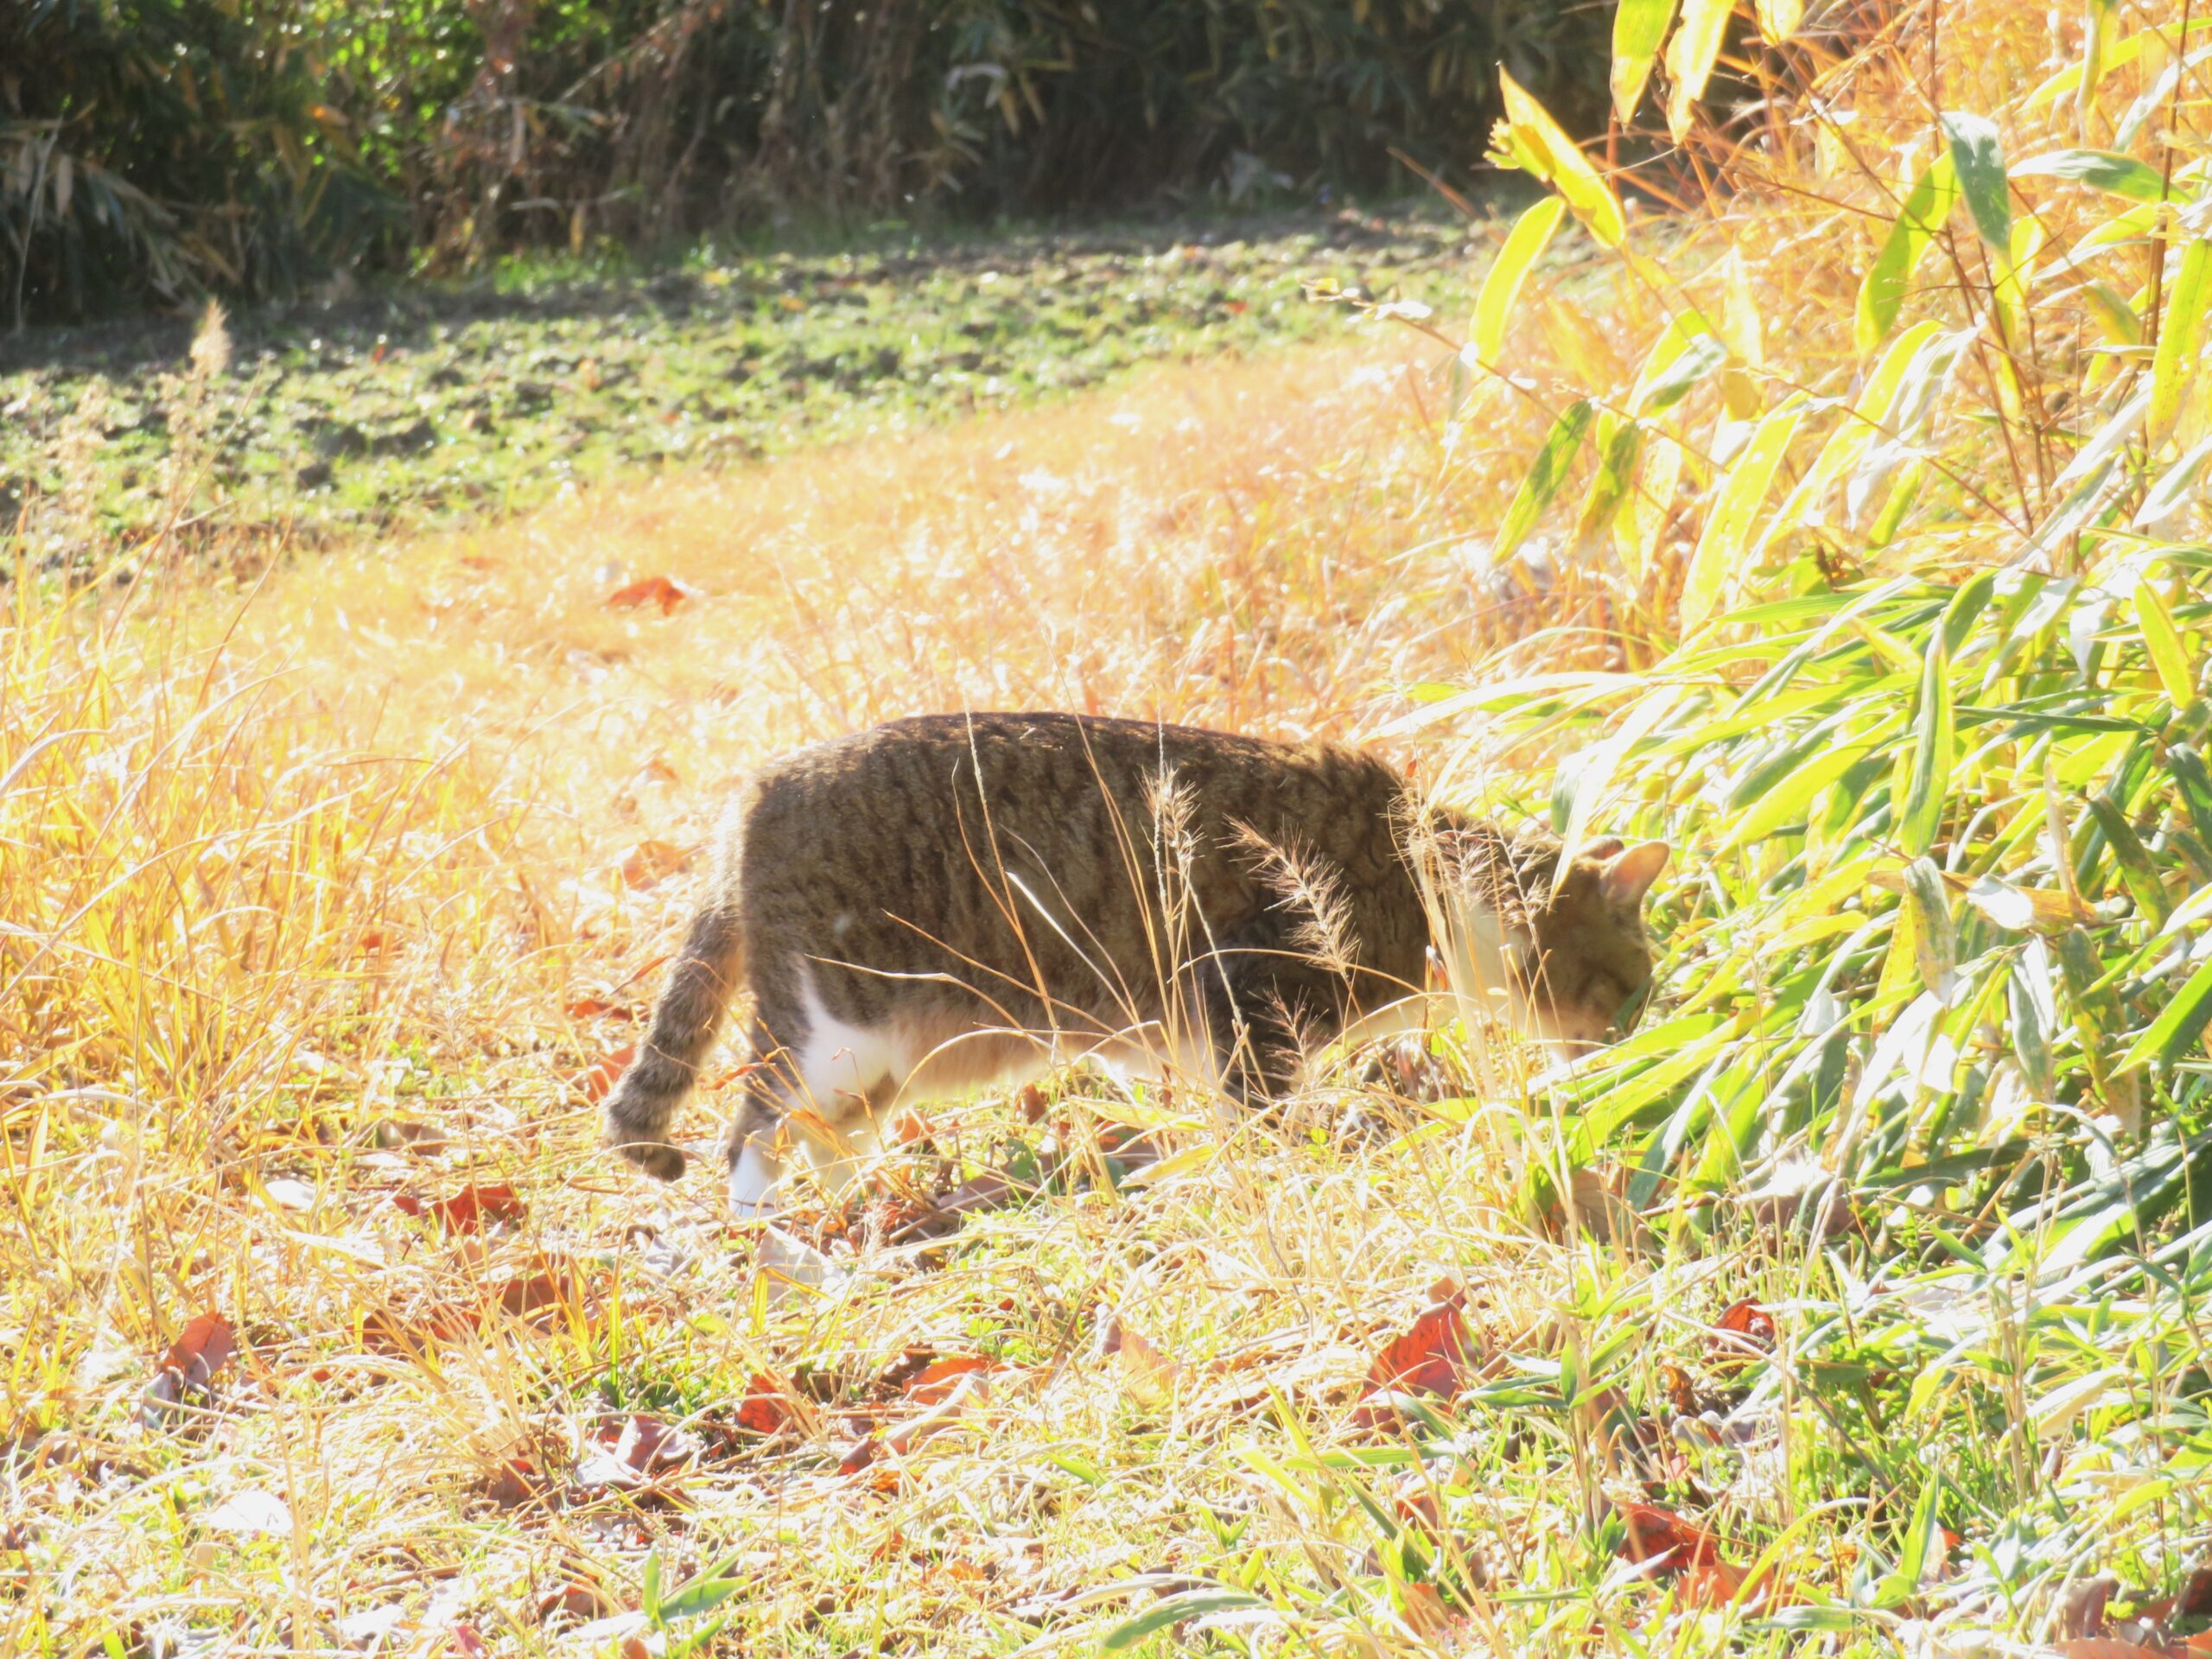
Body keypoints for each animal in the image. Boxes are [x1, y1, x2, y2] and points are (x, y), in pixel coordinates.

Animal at [597, 716, 1663, 1221]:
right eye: (1631, 988)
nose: (1632, 1049)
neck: (1431, 878)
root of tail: (749, 798)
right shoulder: (1250, 993)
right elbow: (1259, 1110)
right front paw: (1279, 1168)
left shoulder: (1193, 1024)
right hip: (836, 1028)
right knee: (752, 1128)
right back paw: (772, 1231)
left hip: (880, 1063)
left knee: (821, 1135)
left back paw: (859, 1204)